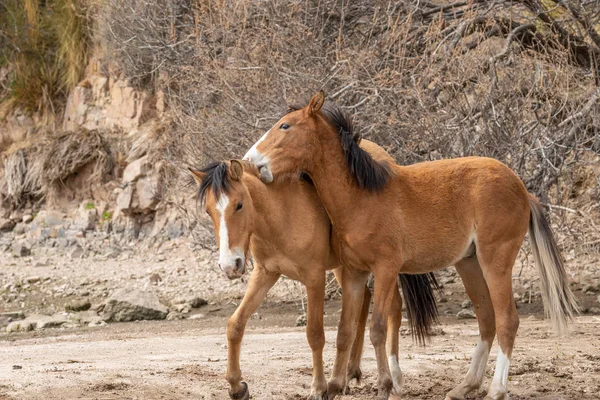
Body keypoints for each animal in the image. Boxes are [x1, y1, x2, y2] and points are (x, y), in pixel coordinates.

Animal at [190, 141, 438, 400]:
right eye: (208, 211)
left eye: (239, 204)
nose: (230, 264)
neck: (281, 212)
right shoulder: (265, 274)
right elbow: (235, 325)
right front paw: (237, 387)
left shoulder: (314, 278)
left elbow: (315, 334)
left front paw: (318, 388)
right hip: (347, 267)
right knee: (364, 302)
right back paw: (350, 373)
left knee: (393, 307)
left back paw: (394, 377)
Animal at [241, 90, 580, 400]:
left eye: (285, 126)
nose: (250, 161)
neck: (362, 197)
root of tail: (522, 189)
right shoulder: (354, 273)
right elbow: (345, 330)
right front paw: (336, 387)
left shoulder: (386, 269)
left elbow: (377, 327)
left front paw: (384, 386)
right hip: (469, 263)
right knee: (487, 319)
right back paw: (465, 386)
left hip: (495, 260)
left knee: (507, 320)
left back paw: (496, 390)